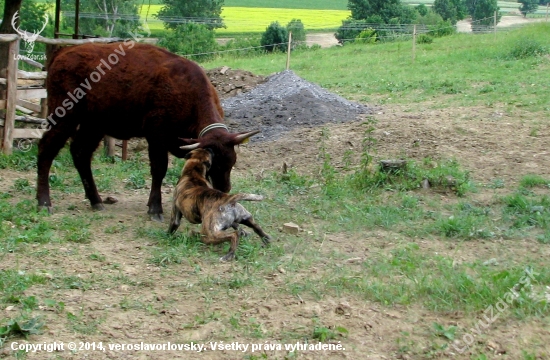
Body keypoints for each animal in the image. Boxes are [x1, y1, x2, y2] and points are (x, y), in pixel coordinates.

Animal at [38, 42, 258, 222]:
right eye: (214, 165)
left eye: (231, 162)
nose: (224, 189)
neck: (187, 90)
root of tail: (63, 52)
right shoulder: (157, 136)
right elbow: (159, 169)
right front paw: (155, 208)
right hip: (64, 117)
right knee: (46, 149)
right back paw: (44, 202)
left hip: (94, 125)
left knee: (80, 153)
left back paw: (95, 200)